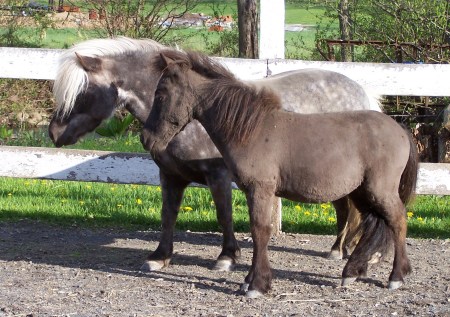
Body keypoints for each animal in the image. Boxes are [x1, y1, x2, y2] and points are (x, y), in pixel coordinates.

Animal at [141, 51, 418, 296]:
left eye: (161, 94)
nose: (146, 138)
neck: (252, 129)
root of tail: (401, 129)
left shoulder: (260, 188)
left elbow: (260, 230)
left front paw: (257, 285)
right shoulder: (251, 190)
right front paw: (248, 281)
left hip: (379, 189)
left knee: (397, 220)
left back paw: (396, 277)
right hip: (361, 191)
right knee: (371, 222)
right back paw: (353, 271)